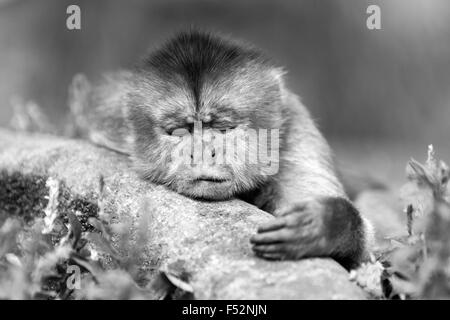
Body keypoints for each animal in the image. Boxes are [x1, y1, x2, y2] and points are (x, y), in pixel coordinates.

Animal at [70, 30, 372, 270]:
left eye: (223, 128)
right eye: (180, 131)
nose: (204, 153)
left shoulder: (297, 136)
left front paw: (325, 225)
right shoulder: (105, 115)